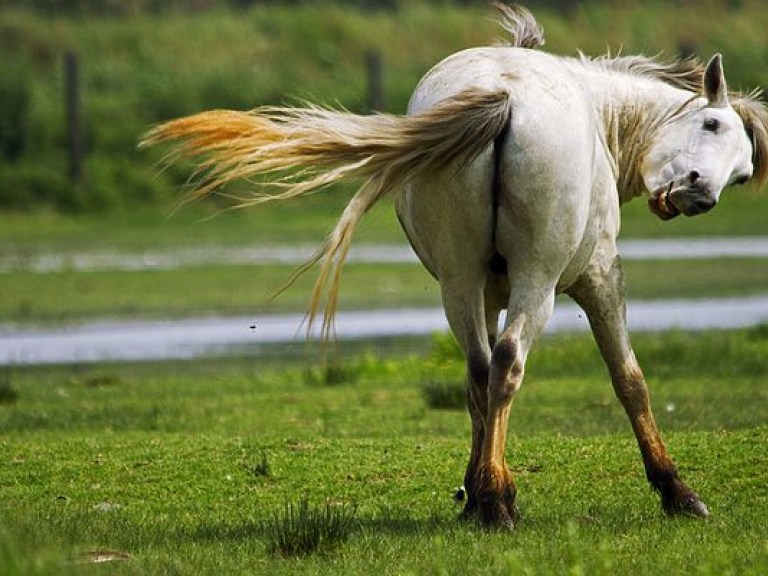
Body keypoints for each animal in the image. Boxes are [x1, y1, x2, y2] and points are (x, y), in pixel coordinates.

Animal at [142, 4, 760, 528]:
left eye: (744, 175)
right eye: (712, 127)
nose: (700, 195)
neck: (600, 113)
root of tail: (504, 96)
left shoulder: (485, 291)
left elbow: (475, 386)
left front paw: (473, 490)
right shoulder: (600, 276)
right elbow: (629, 380)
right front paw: (677, 492)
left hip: (460, 283)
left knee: (483, 369)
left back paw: (489, 497)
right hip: (537, 283)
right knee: (507, 365)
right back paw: (501, 505)